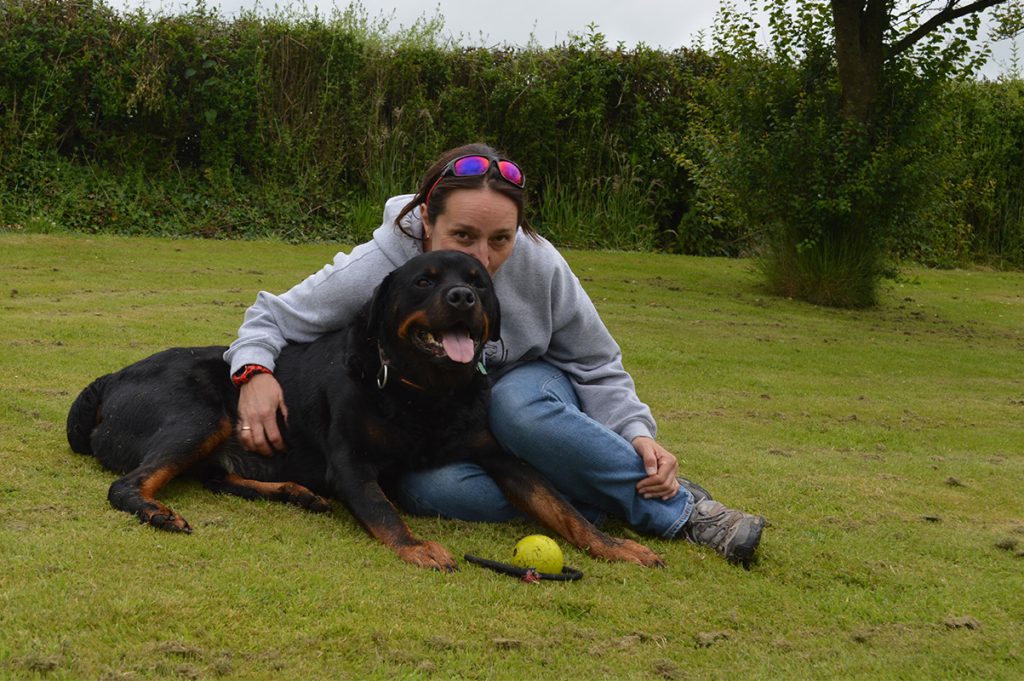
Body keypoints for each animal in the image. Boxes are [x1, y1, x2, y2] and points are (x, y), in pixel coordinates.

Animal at [70, 249, 663, 569]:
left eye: (477, 282)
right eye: (424, 281)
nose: (462, 299)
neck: (426, 393)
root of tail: (108, 379)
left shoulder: (500, 456)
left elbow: (558, 505)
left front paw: (615, 545)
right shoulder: (350, 462)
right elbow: (382, 508)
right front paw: (418, 546)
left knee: (215, 477)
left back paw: (294, 493)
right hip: (201, 414)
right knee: (129, 483)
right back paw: (156, 511)